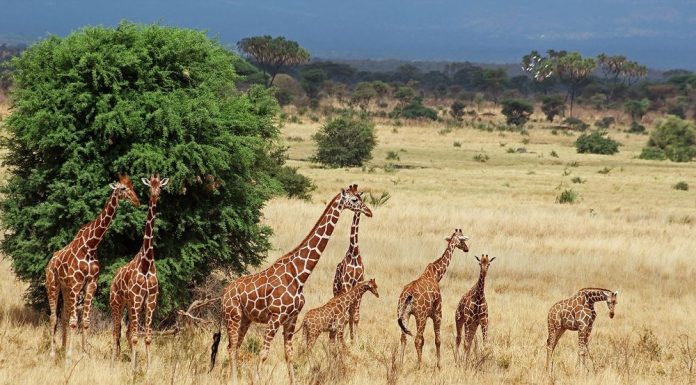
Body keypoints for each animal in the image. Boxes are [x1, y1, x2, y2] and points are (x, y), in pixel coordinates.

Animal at [45, 174, 141, 360]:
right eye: (122, 188)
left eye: (133, 186)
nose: (137, 201)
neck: (90, 245)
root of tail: (50, 261)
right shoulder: (76, 285)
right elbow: (74, 321)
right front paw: (70, 356)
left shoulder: (90, 284)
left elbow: (85, 321)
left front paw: (83, 355)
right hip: (53, 284)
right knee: (53, 317)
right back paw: (53, 353)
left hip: (66, 288)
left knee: (64, 316)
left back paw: (63, 348)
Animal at [109, 174, 169, 368]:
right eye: (150, 186)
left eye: (160, 186)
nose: (155, 195)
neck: (146, 263)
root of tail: (113, 279)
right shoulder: (136, 299)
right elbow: (135, 337)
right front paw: (133, 369)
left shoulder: (150, 300)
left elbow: (147, 337)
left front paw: (146, 367)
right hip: (117, 303)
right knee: (117, 331)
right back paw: (114, 362)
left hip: (129, 305)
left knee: (127, 331)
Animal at [209, 184, 372, 384]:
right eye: (355, 200)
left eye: (361, 197)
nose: (369, 211)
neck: (299, 275)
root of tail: (224, 294)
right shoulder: (275, 317)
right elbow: (263, 354)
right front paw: (258, 378)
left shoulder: (291, 319)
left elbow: (289, 355)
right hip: (233, 317)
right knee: (231, 348)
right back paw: (233, 380)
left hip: (245, 319)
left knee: (234, 346)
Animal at [396, 228, 468, 368]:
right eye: (462, 239)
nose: (467, 248)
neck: (435, 274)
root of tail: (408, 294)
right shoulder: (437, 313)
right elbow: (437, 339)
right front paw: (439, 366)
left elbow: (426, 340)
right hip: (420, 316)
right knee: (417, 339)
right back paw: (419, 366)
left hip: (403, 314)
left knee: (403, 338)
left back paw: (400, 365)